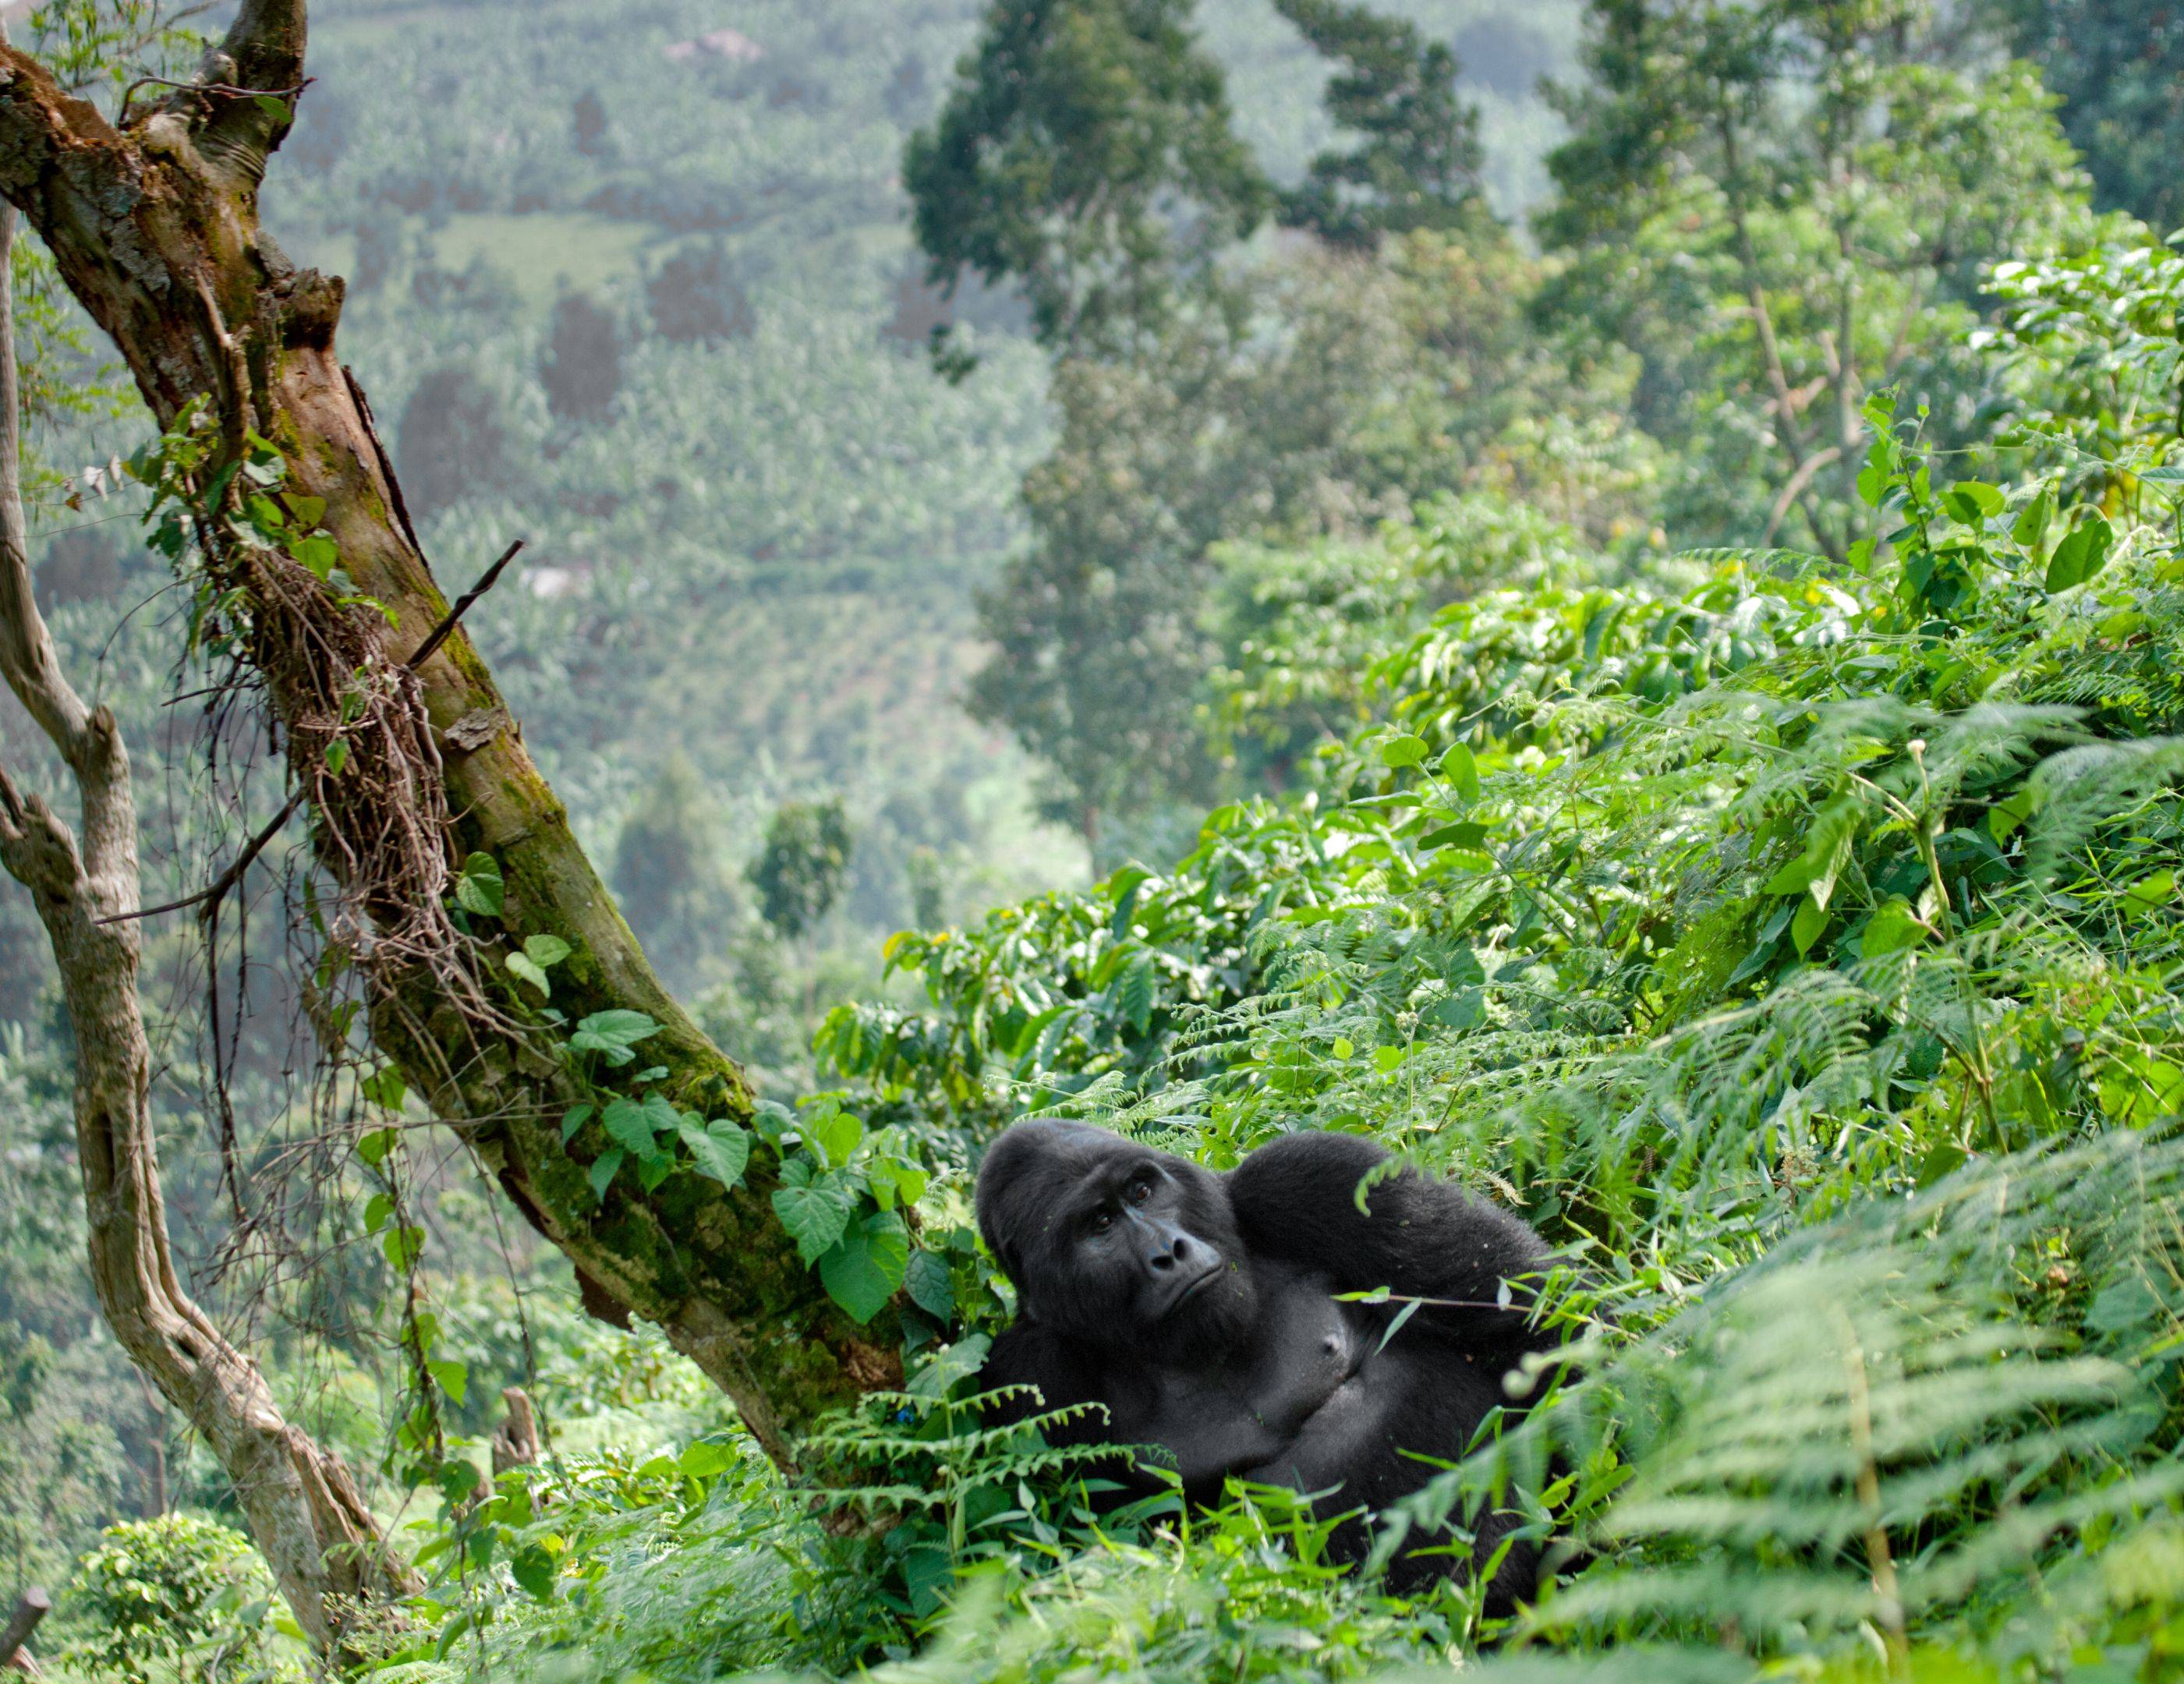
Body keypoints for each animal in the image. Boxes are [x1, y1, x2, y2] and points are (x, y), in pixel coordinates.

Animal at [978, 1118, 1572, 1607]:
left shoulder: (1310, 1177)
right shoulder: (1030, 1373)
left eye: (1142, 1191)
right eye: (1099, 1223)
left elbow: (1531, 1314)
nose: (1170, 1252)